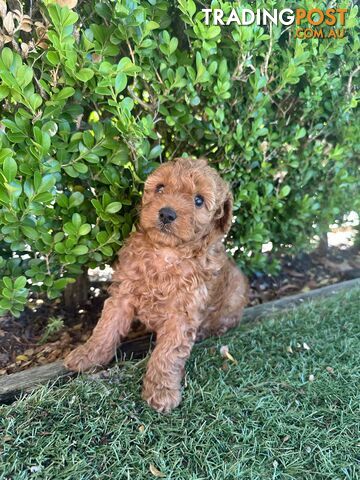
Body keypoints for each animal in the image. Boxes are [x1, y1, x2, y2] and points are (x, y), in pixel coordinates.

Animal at [64, 158, 249, 412]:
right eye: (160, 188)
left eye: (198, 200)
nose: (167, 213)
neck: (165, 252)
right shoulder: (123, 294)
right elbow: (105, 329)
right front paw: (87, 356)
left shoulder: (182, 315)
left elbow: (168, 354)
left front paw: (161, 391)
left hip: (236, 294)